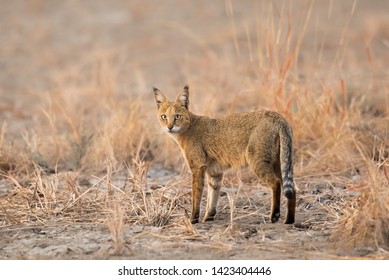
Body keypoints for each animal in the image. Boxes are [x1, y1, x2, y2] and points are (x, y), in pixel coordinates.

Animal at [153, 84, 296, 224]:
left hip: (258, 162)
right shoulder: (214, 171)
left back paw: (275, 215)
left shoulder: (198, 167)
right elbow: (212, 196)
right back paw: (289, 220)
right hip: (279, 163)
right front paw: (208, 217)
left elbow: (196, 195)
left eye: (177, 116)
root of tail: (277, 116)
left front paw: (193, 219)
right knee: (292, 189)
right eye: (164, 117)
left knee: (276, 182)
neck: (188, 127)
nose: (169, 127)